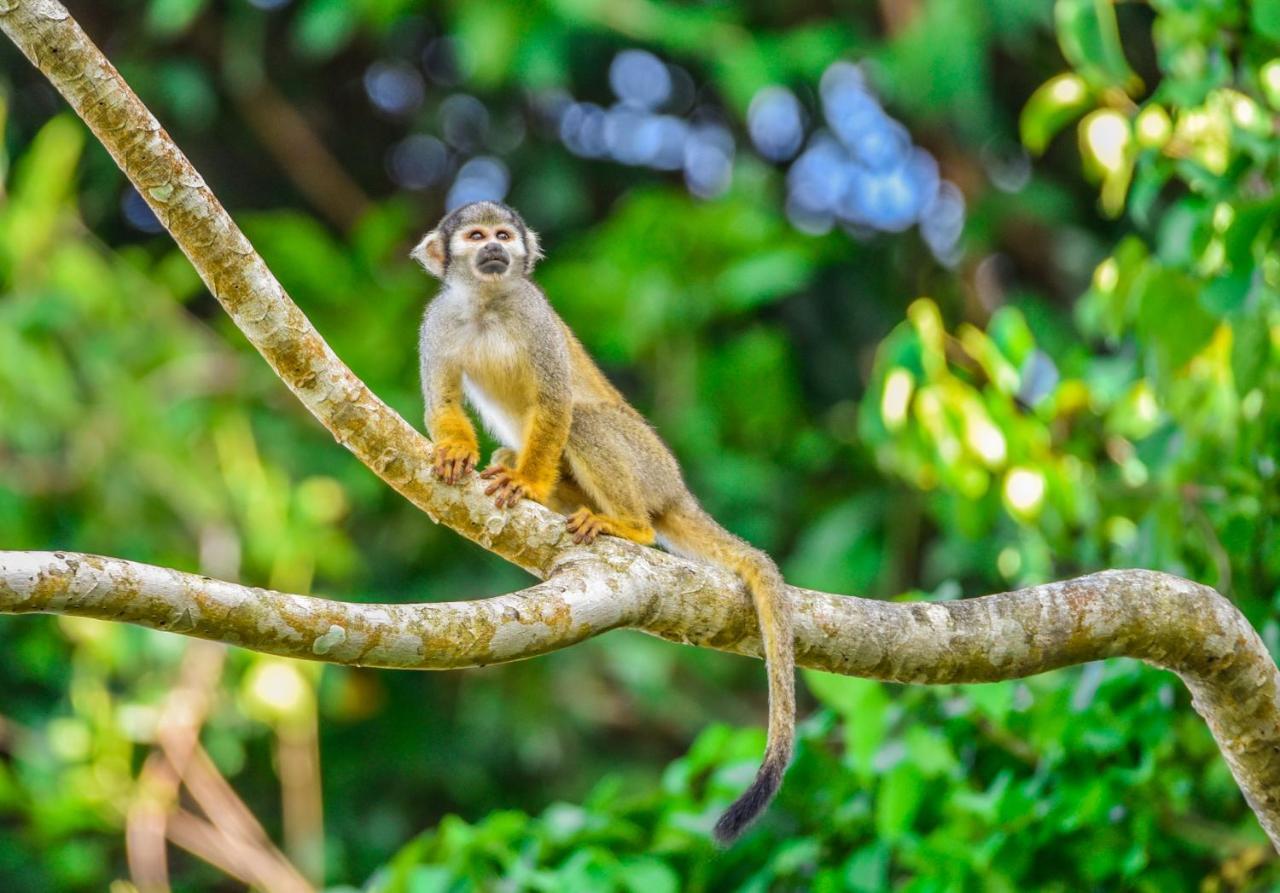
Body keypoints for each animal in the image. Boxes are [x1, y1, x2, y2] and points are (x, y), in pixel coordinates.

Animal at [412, 202, 788, 839]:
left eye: (504, 235)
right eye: (475, 236)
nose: (496, 251)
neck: (487, 303)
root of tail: (676, 489)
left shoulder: (534, 315)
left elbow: (556, 402)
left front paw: (527, 484)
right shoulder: (436, 321)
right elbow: (442, 401)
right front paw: (457, 451)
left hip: (648, 462)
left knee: (585, 418)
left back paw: (628, 525)